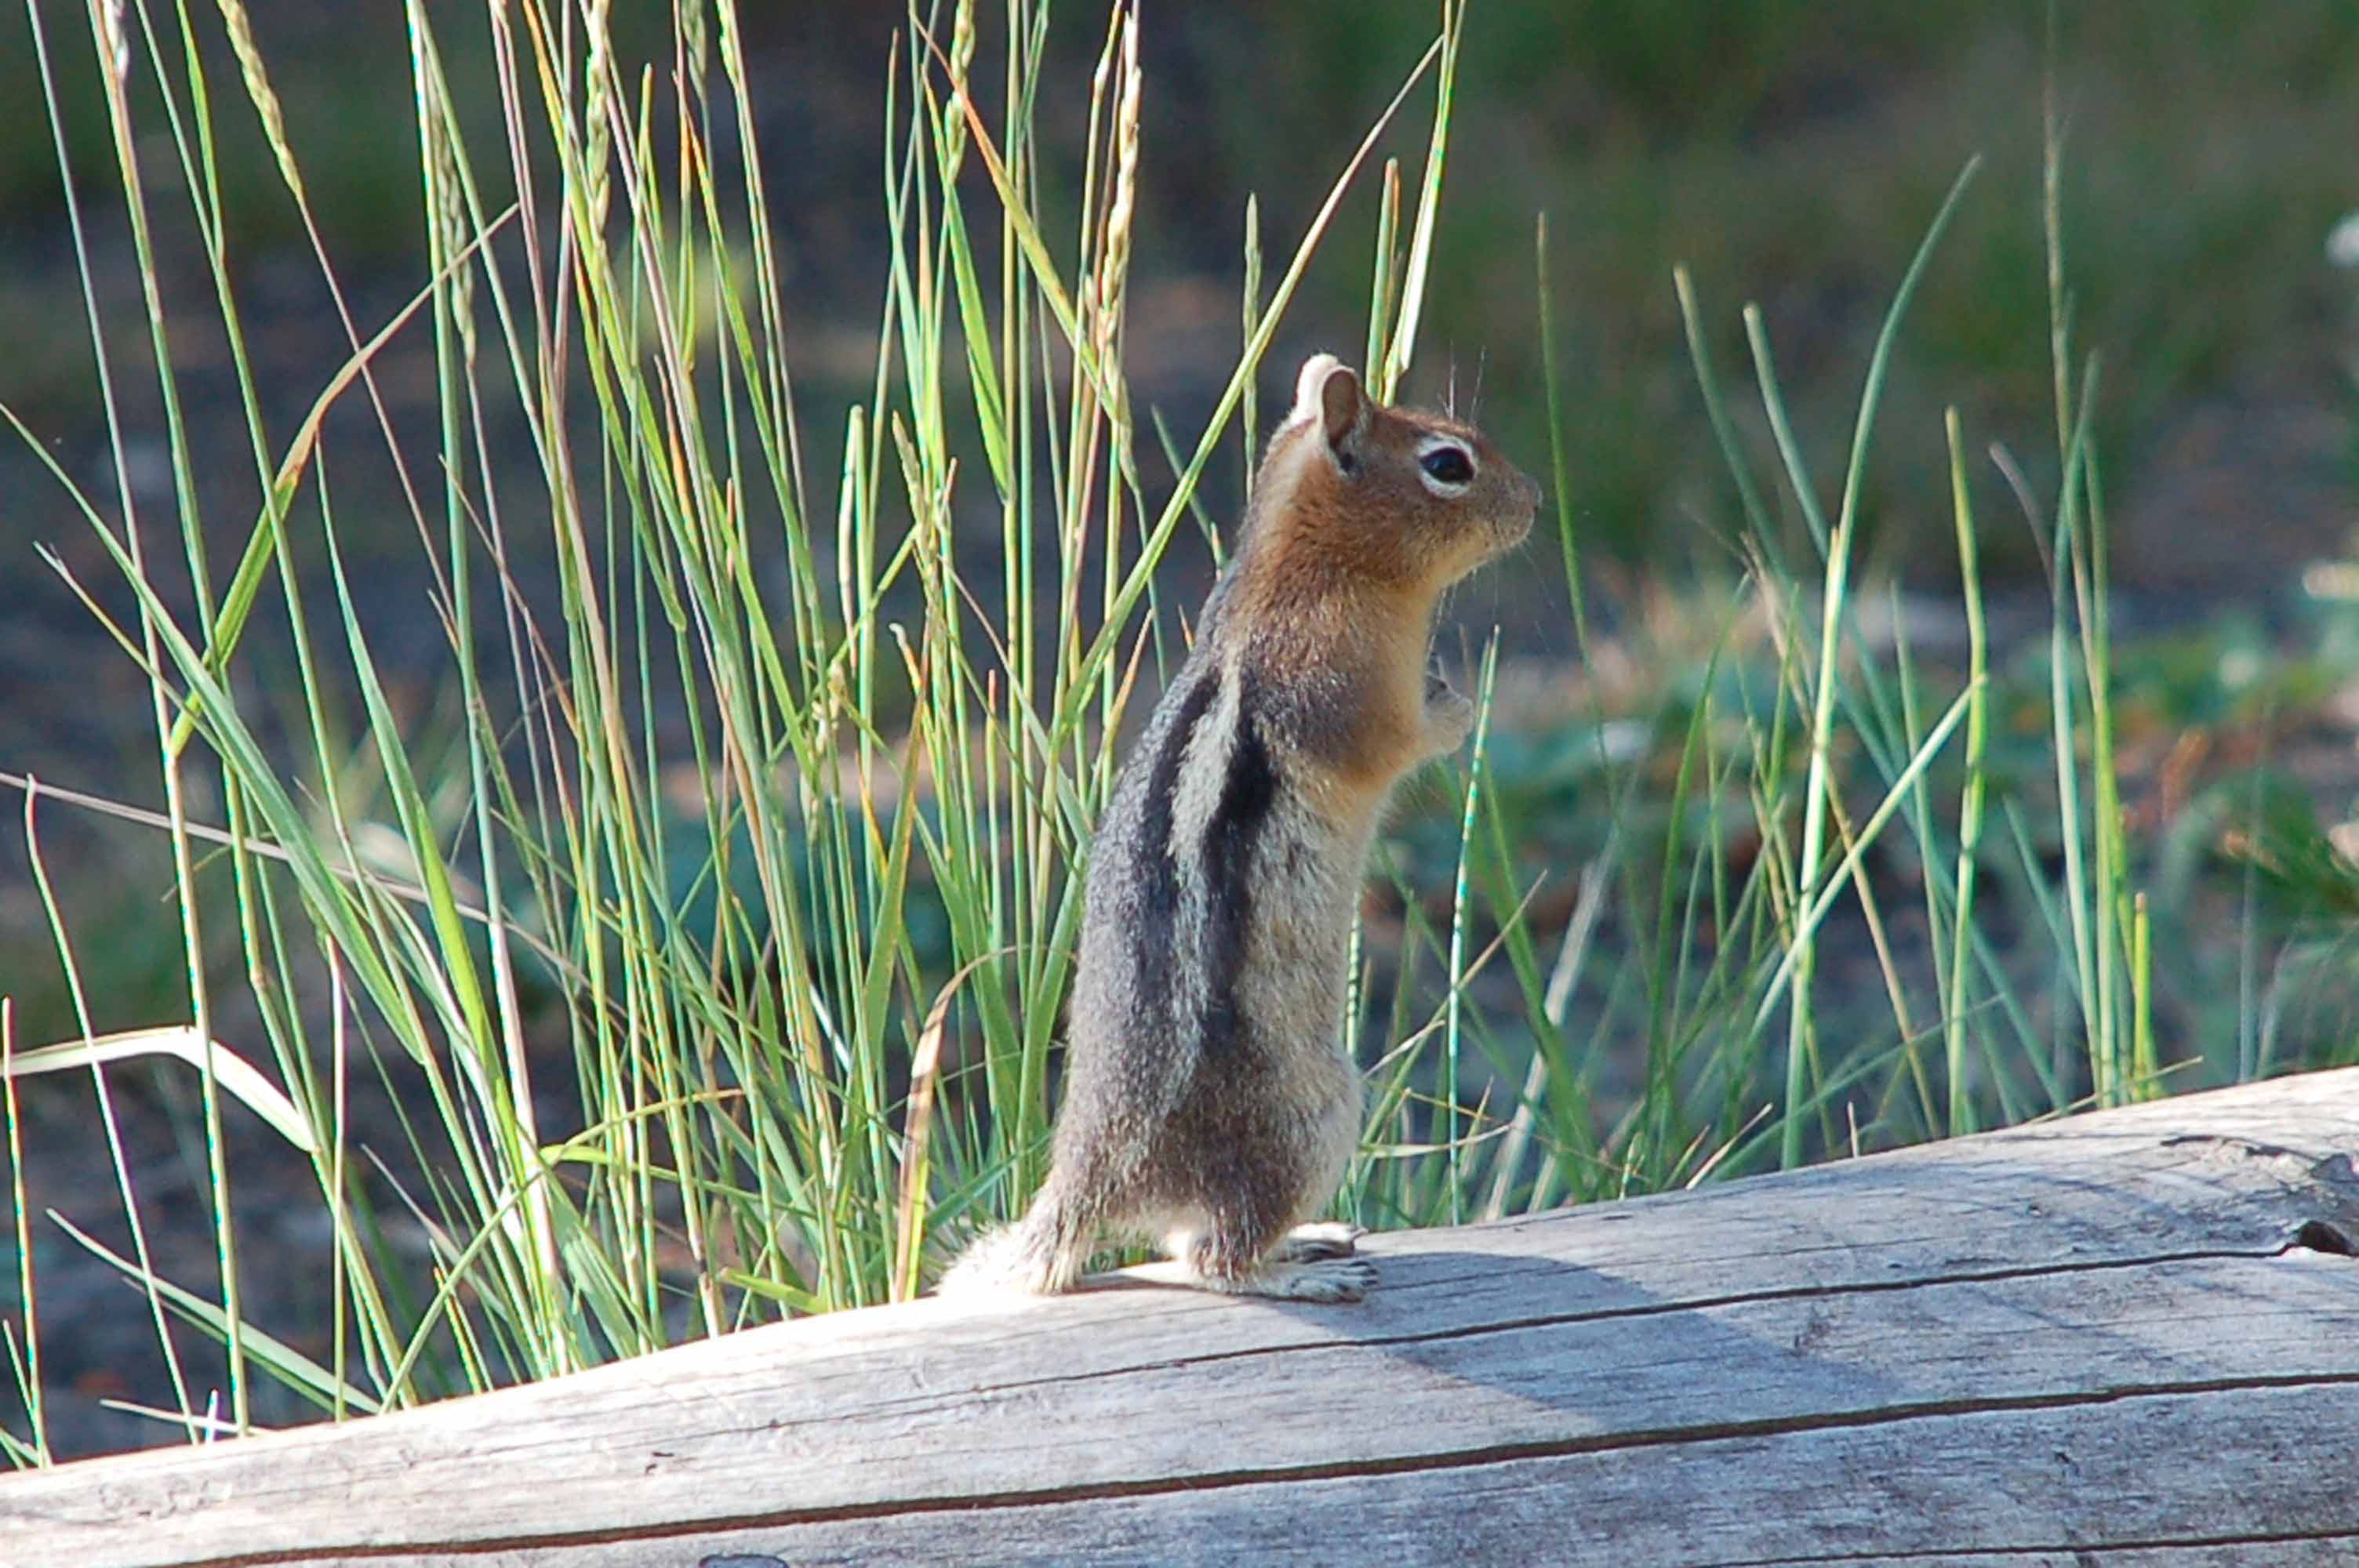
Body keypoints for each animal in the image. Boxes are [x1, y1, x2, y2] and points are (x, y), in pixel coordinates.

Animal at [948, 349, 1538, 1301]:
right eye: (1448, 464)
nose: (1532, 501)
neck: (1313, 564)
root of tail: (1093, 1170)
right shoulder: (1335, 676)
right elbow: (1394, 740)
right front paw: (1456, 705)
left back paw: (1309, 1241)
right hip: (1313, 1115)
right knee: (1214, 1257)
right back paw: (1294, 1273)